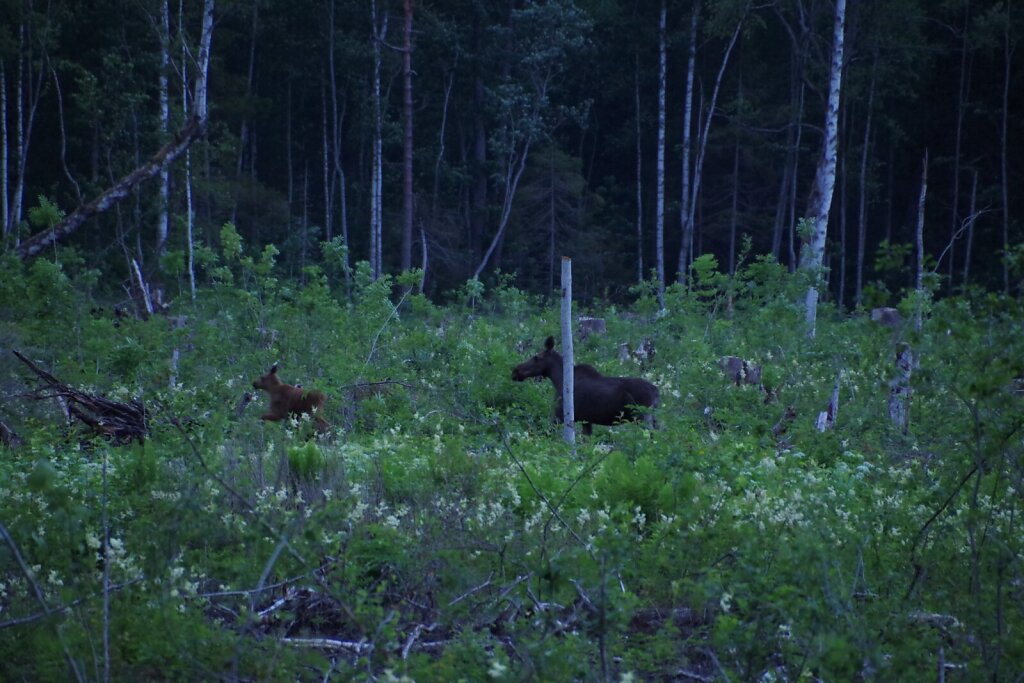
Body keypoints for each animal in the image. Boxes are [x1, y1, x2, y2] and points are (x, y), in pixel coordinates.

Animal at [509, 335, 659, 438]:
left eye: (536, 357)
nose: (515, 371)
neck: (558, 379)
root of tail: (656, 391)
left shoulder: (560, 415)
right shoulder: (587, 420)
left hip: (642, 417)